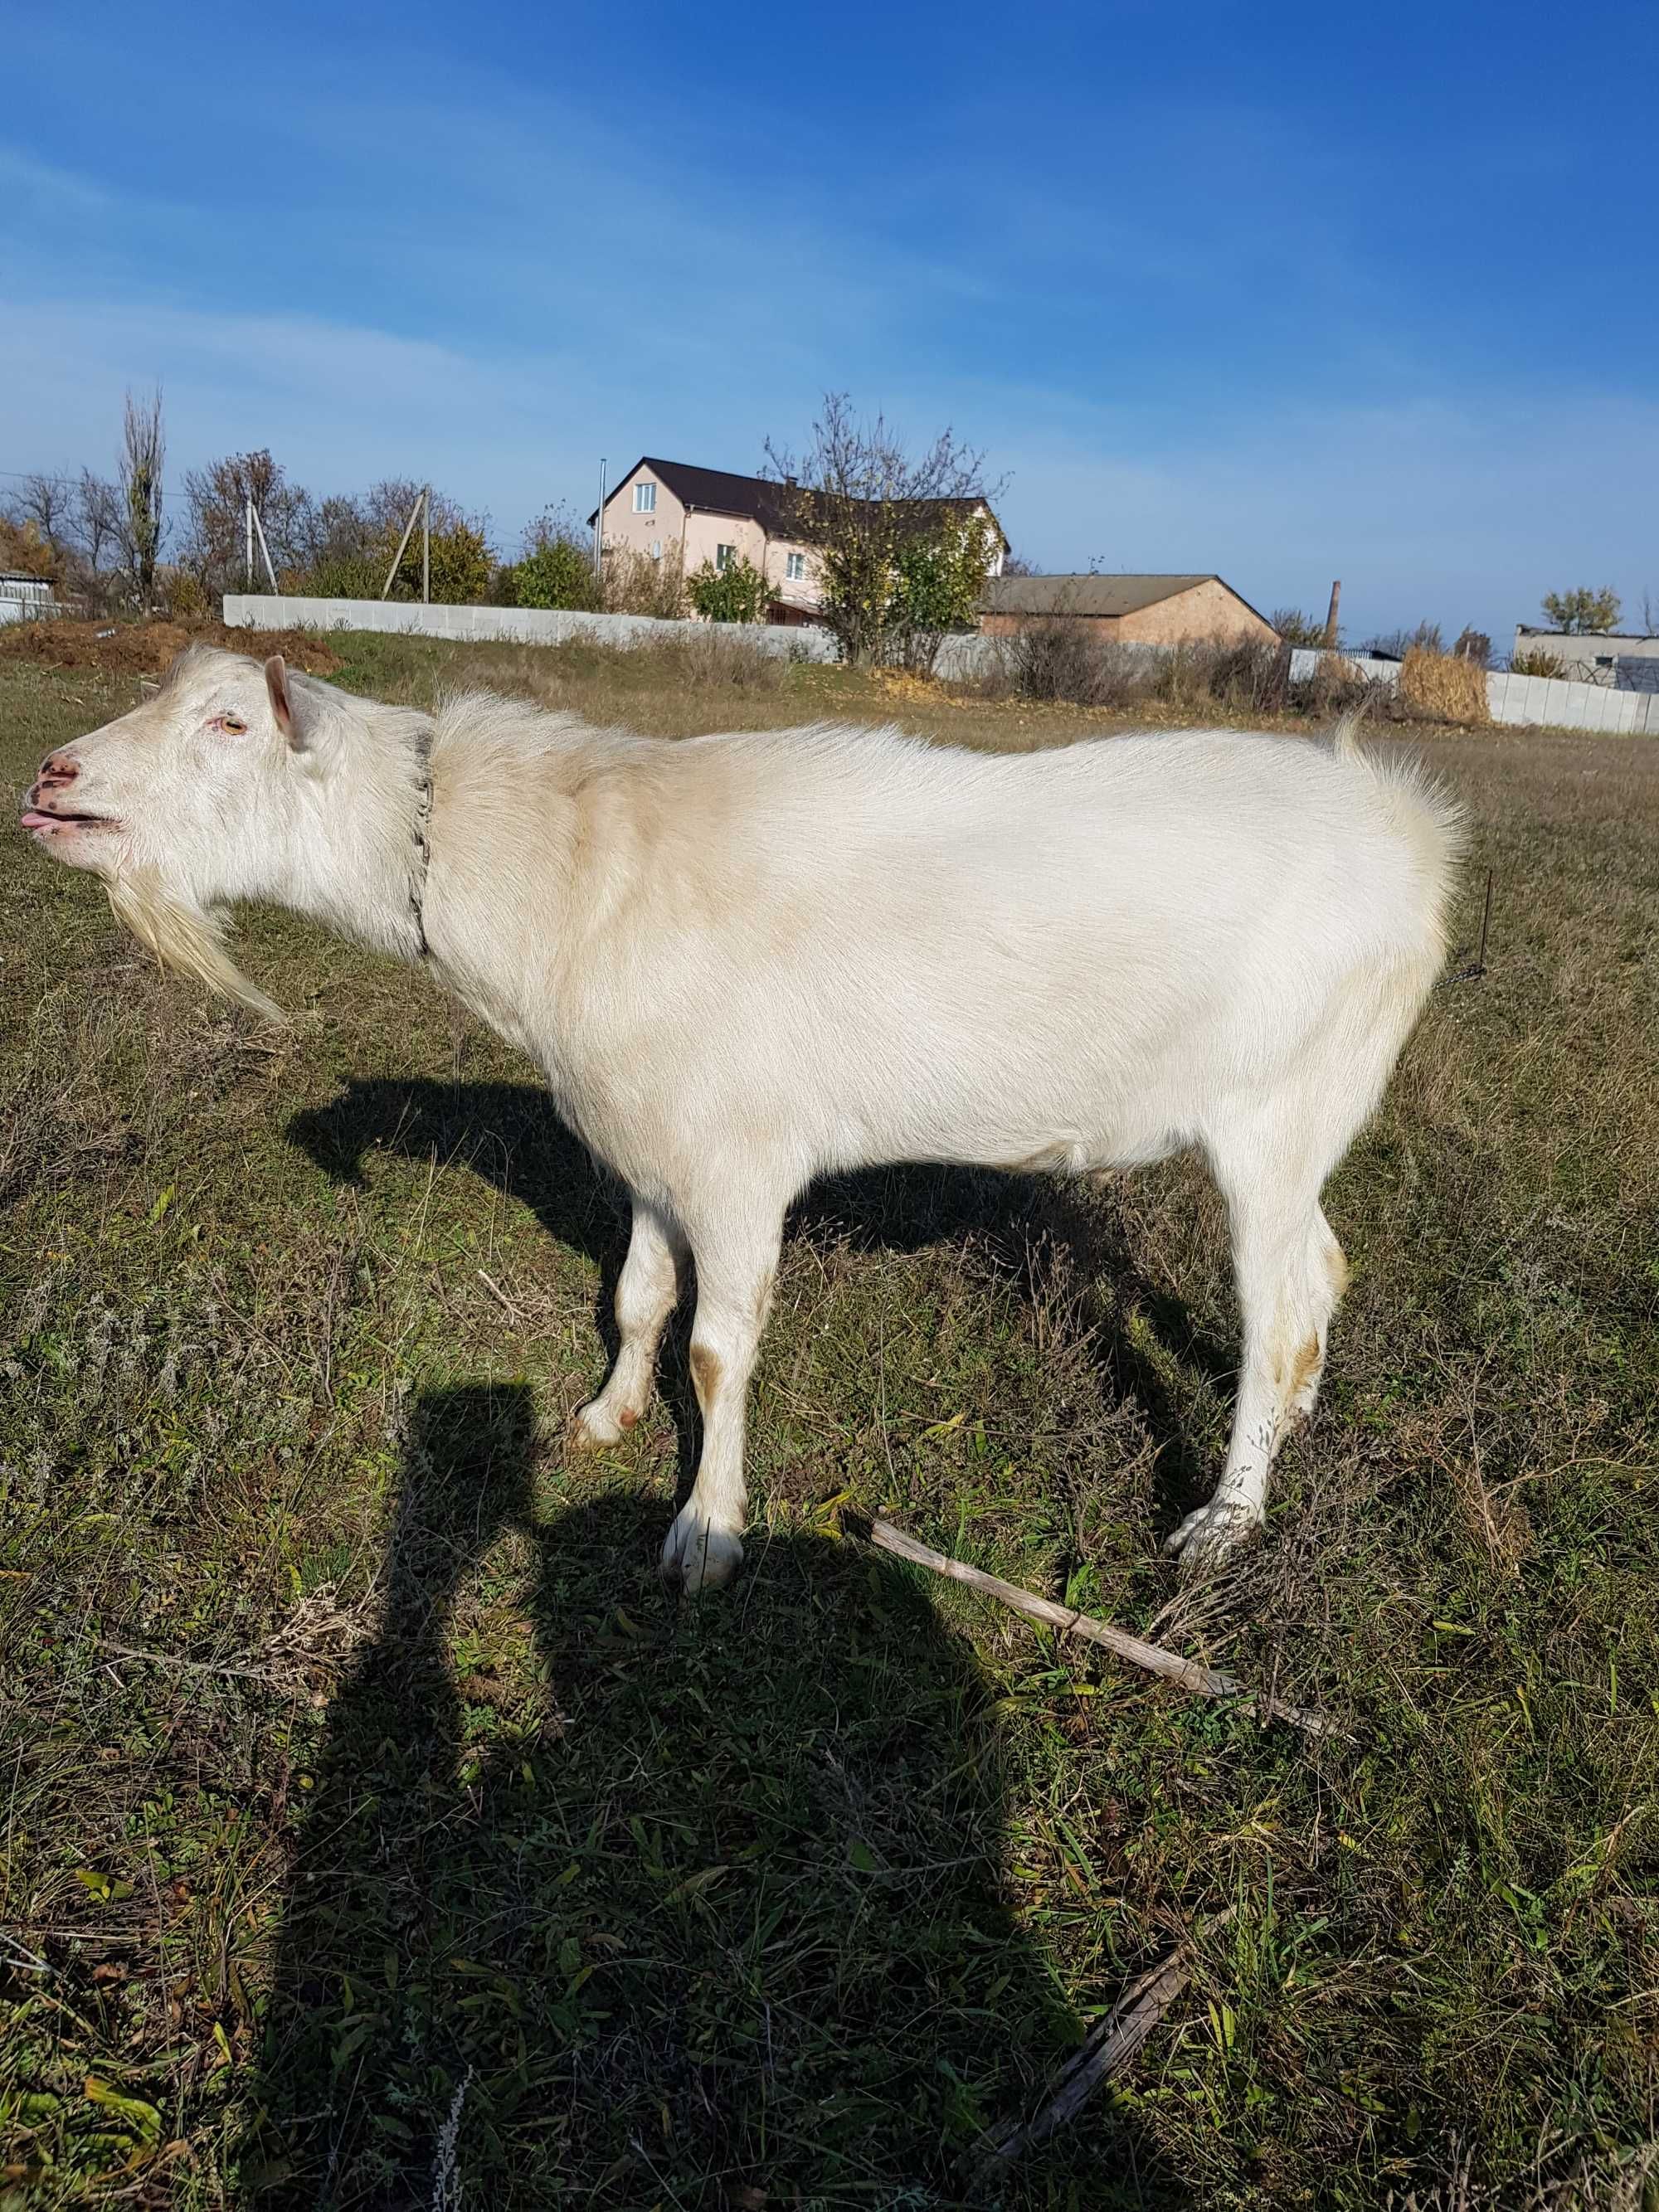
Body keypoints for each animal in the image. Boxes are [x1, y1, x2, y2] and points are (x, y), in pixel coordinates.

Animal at [19, 645, 1460, 1592]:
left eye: (227, 724)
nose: (50, 776)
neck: (563, 880)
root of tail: (1409, 831)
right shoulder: (652, 1150)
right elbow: (639, 1299)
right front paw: (601, 1420)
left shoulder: (737, 1163)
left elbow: (717, 1350)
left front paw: (705, 1532)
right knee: (1324, 1263)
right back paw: (1300, 1421)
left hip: (1275, 1108)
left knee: (1278, 1303)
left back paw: (1227, 1515)